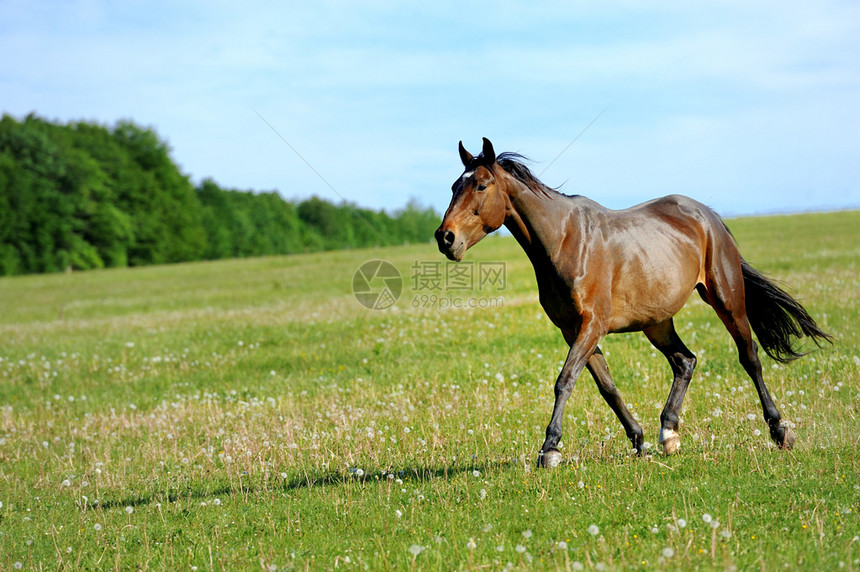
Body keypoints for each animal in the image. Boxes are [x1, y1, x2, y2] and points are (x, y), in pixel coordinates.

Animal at [434, 140, 828, 470]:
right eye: (454, 186)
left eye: (480, 186)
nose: (445, 238)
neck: (565, 240)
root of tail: (709, 217)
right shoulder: (573, 330)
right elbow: (606, 387)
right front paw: (638, 441)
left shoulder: (591, 324)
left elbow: (565, 381)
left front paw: (550, 449)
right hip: (658, 322)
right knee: (685, 361)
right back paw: (669, 434)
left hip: (726, 300)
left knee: (749, 358)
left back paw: (779, 431)